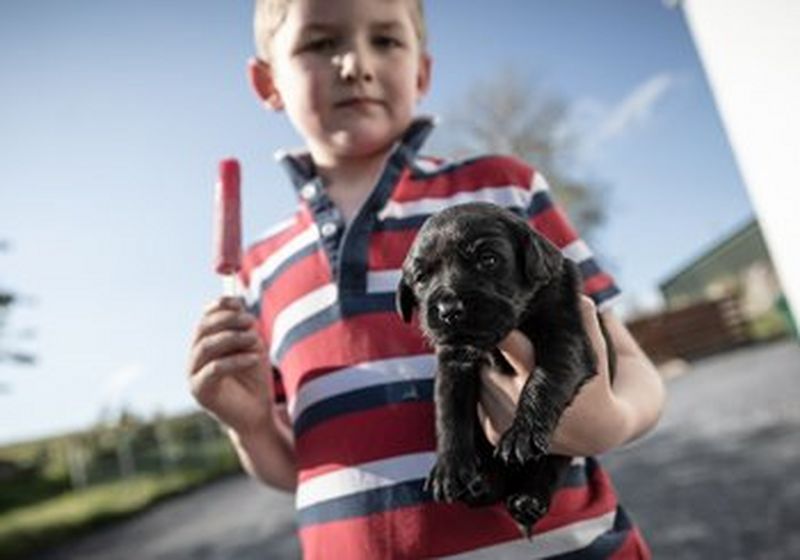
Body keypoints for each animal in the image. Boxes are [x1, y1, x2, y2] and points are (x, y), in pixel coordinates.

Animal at [394, 201, 608, 532]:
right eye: (421, 277)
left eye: (488, 259)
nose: (448, 310)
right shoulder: (453, 359)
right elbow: (449, 410)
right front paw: (450, 466)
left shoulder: (565, 334)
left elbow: (543, 380)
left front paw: (522, 433)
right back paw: (481, 485)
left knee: (552, 465)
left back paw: (528, 499)